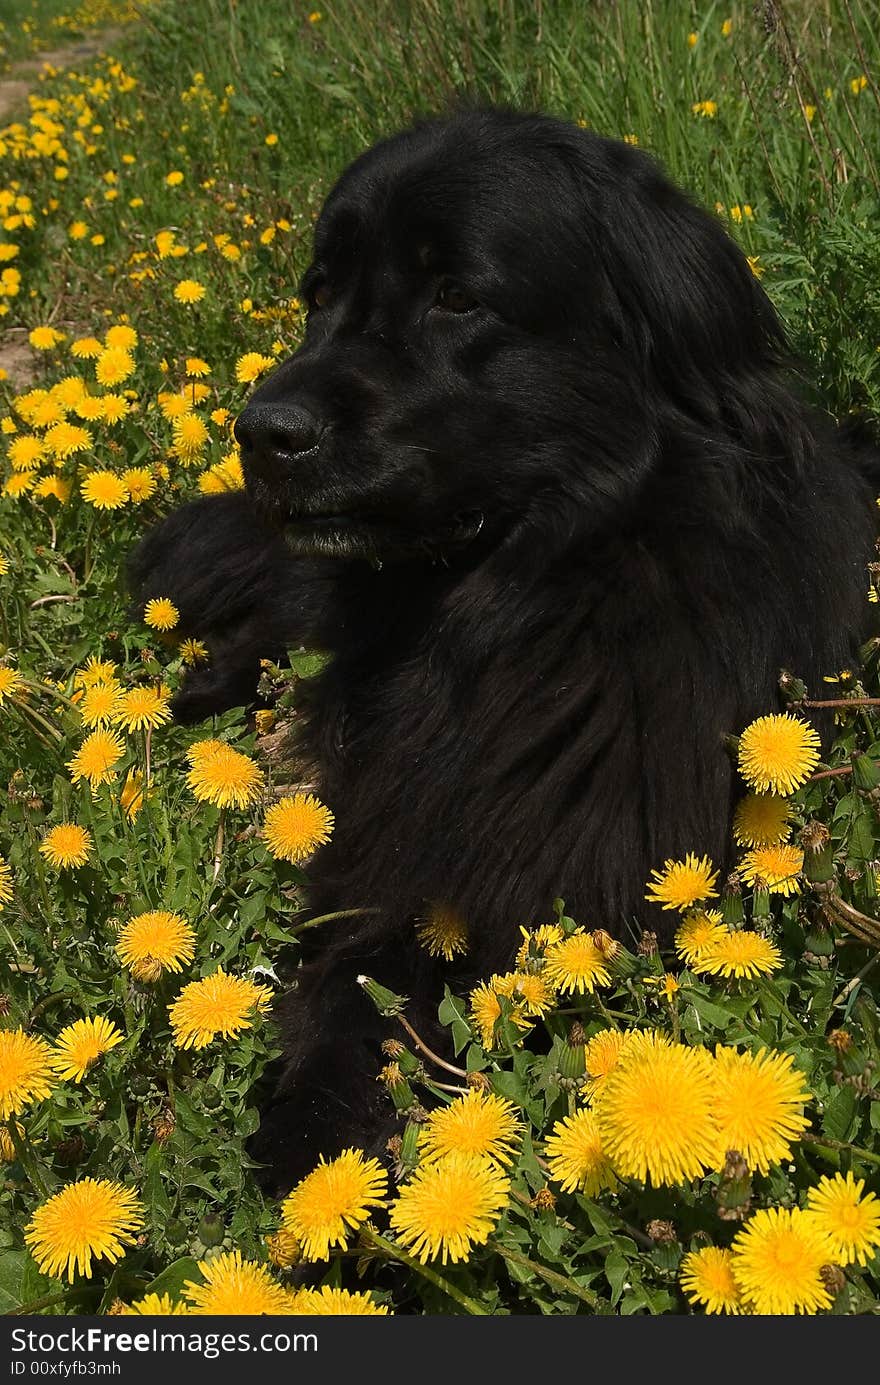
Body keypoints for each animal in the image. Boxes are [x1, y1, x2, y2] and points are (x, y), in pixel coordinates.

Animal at [130, 108, 880, 1191]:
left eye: (455, 296)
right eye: (318, 297)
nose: (262, 432)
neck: (529, 595)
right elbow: (348, 962)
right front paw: (317, 1131)